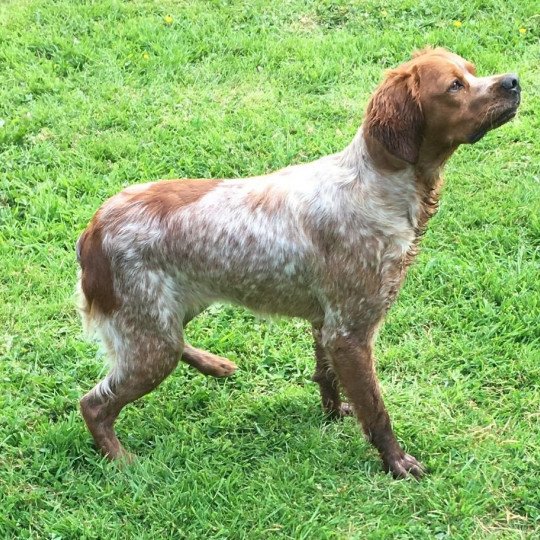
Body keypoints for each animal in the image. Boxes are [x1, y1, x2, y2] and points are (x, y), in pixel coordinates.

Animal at [75, 46, 520, 476]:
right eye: (455, 86)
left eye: (472, 70)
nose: (514, 81)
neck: (375, 186)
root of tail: (92, 230)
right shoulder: (351, 331)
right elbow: (376, 410)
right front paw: (395, 462)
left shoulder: (326, 322)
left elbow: (327, 377)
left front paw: (333, 414)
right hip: (150, 340)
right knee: (94, 404)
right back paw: (121, 462)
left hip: (165, 319)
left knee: (172, 346)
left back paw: (215, 365)